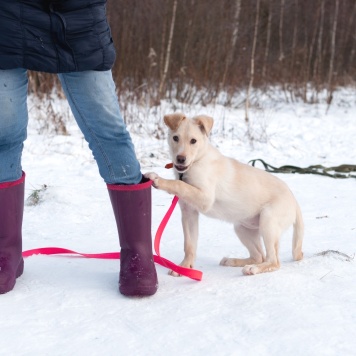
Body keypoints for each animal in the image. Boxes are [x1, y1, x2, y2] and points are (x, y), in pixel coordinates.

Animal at [145, 113, 304, 276]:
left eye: (193, 141)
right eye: (175, 138)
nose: (180, 159)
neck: (197, 161)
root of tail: (294, 201)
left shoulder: (205, 198)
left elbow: (179, 184)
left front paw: (159, 180)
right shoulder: (189, 213)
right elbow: (189, 245)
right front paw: (184, 267)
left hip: (268, 221)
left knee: (273, 261)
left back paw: (253, 268)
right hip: (242, 228)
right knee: (259, 256)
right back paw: (233, 261)